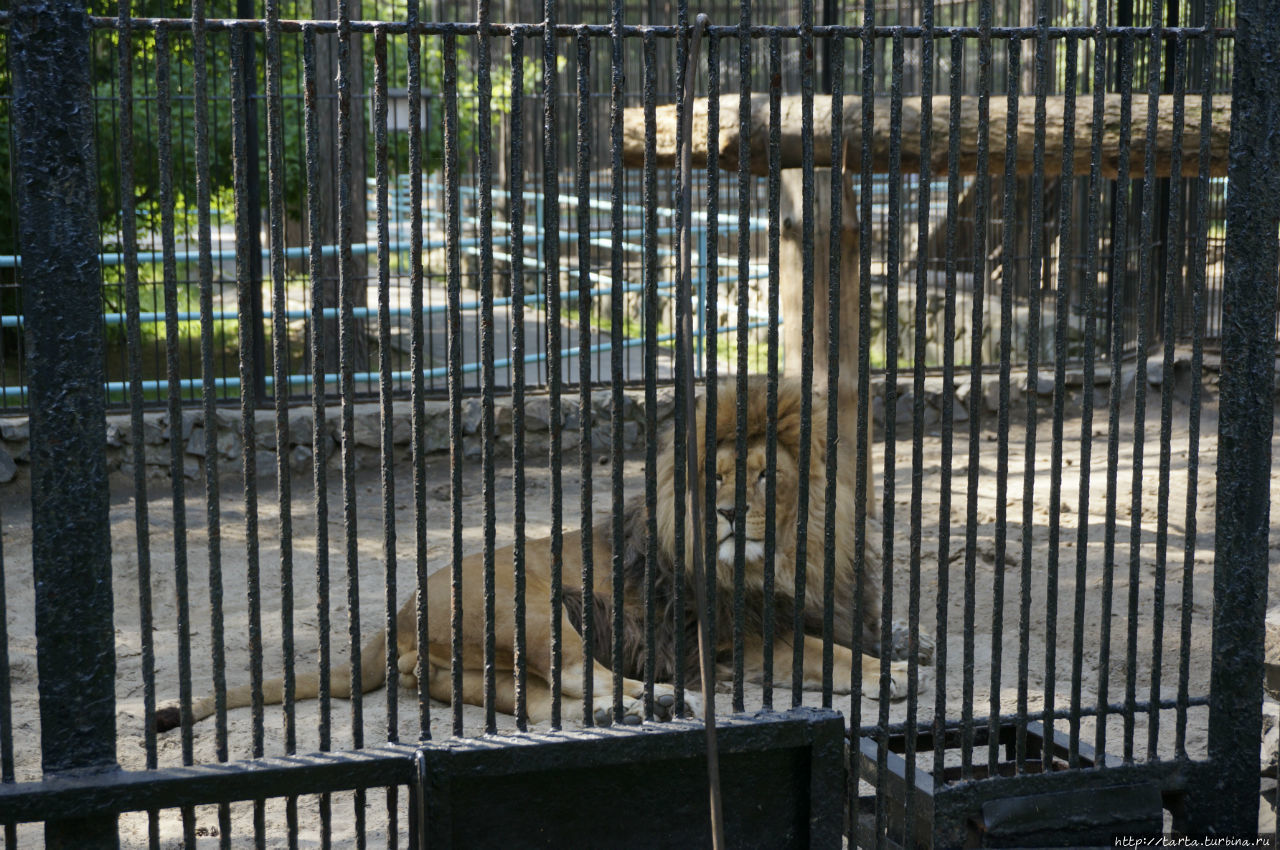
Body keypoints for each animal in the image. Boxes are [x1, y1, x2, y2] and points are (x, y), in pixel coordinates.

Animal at [157, 376, 921, 732]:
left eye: (765, 476)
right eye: (718, 478)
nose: (730, 513)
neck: (789, 555)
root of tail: (399, 613)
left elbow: (854, 635)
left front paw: (899, 647)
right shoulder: (743, 641)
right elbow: (828, 654)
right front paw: (886, 673)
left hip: (480, 654)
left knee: (507, 689)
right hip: (529, 607)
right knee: (584, 675)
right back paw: (649, 699)